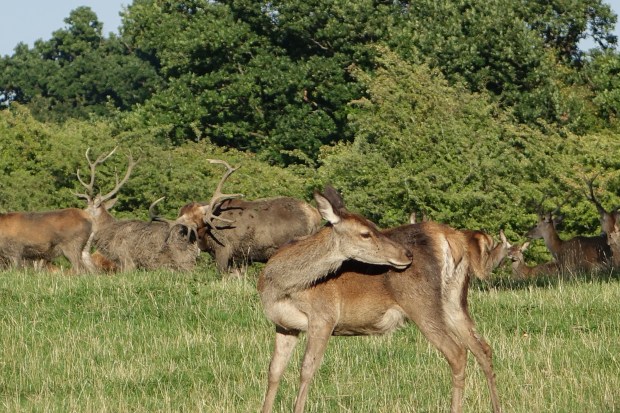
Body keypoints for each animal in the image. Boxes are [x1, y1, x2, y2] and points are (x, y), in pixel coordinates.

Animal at [174, 160, 322, 276]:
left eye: (194, 217)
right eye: (182, 213)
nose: (176, 223)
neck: (206, 233)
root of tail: (315, 216)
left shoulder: (223, 249)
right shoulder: (239, 258)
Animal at [258, 186, 501, 413]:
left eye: (374, 226)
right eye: (366, 233)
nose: (406, 254)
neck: (280, 288)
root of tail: (453, 239)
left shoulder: (324, 315)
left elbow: (307, 369)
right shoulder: (284, 325)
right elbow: (274, 370)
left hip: (420, 302)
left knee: (458, 352)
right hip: (454, 301)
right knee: (483, 348)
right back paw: (497, 406)